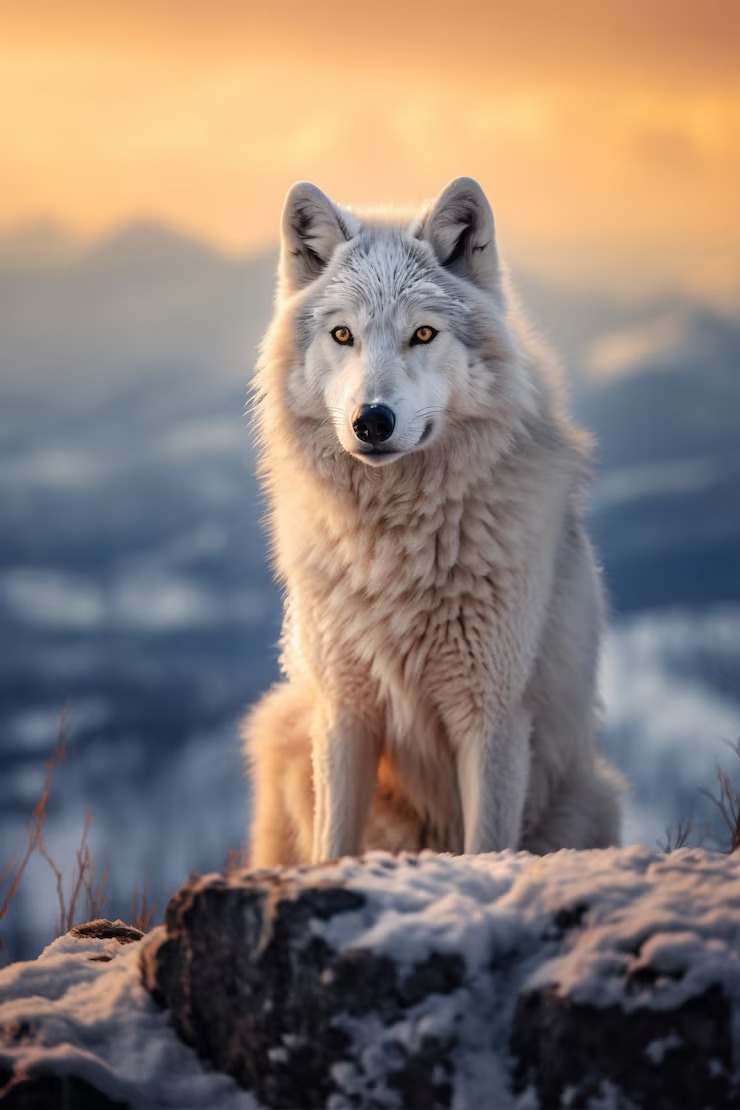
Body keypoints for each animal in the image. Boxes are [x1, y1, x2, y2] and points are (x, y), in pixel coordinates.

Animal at [244, 176, 623, 866]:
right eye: (343, 336)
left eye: (423, 334)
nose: (372, 421)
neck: (395, 543)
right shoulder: (345, 712)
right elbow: (333, 844)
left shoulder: (492, 717)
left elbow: (486, 846)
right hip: (286, 731)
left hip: (591, 795)